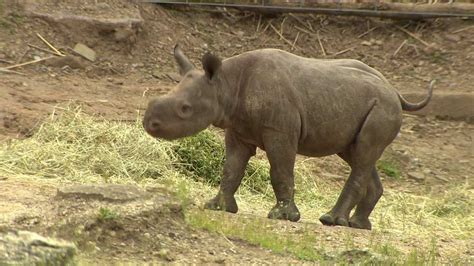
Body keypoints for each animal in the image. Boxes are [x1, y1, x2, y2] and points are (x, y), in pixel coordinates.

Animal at [142, 44, 434, 230]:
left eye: (185, 109)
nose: (149, 123)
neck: (225, 83)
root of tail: (395, 92)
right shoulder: (237, 130)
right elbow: (231, 169)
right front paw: (217, 207)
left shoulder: (279, 132)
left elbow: (280, 170)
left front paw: (282, 216)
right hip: (364, 104)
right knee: (358, 155)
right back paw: (358, 226)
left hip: (382, 107)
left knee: (363, 155)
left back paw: (331, 221)